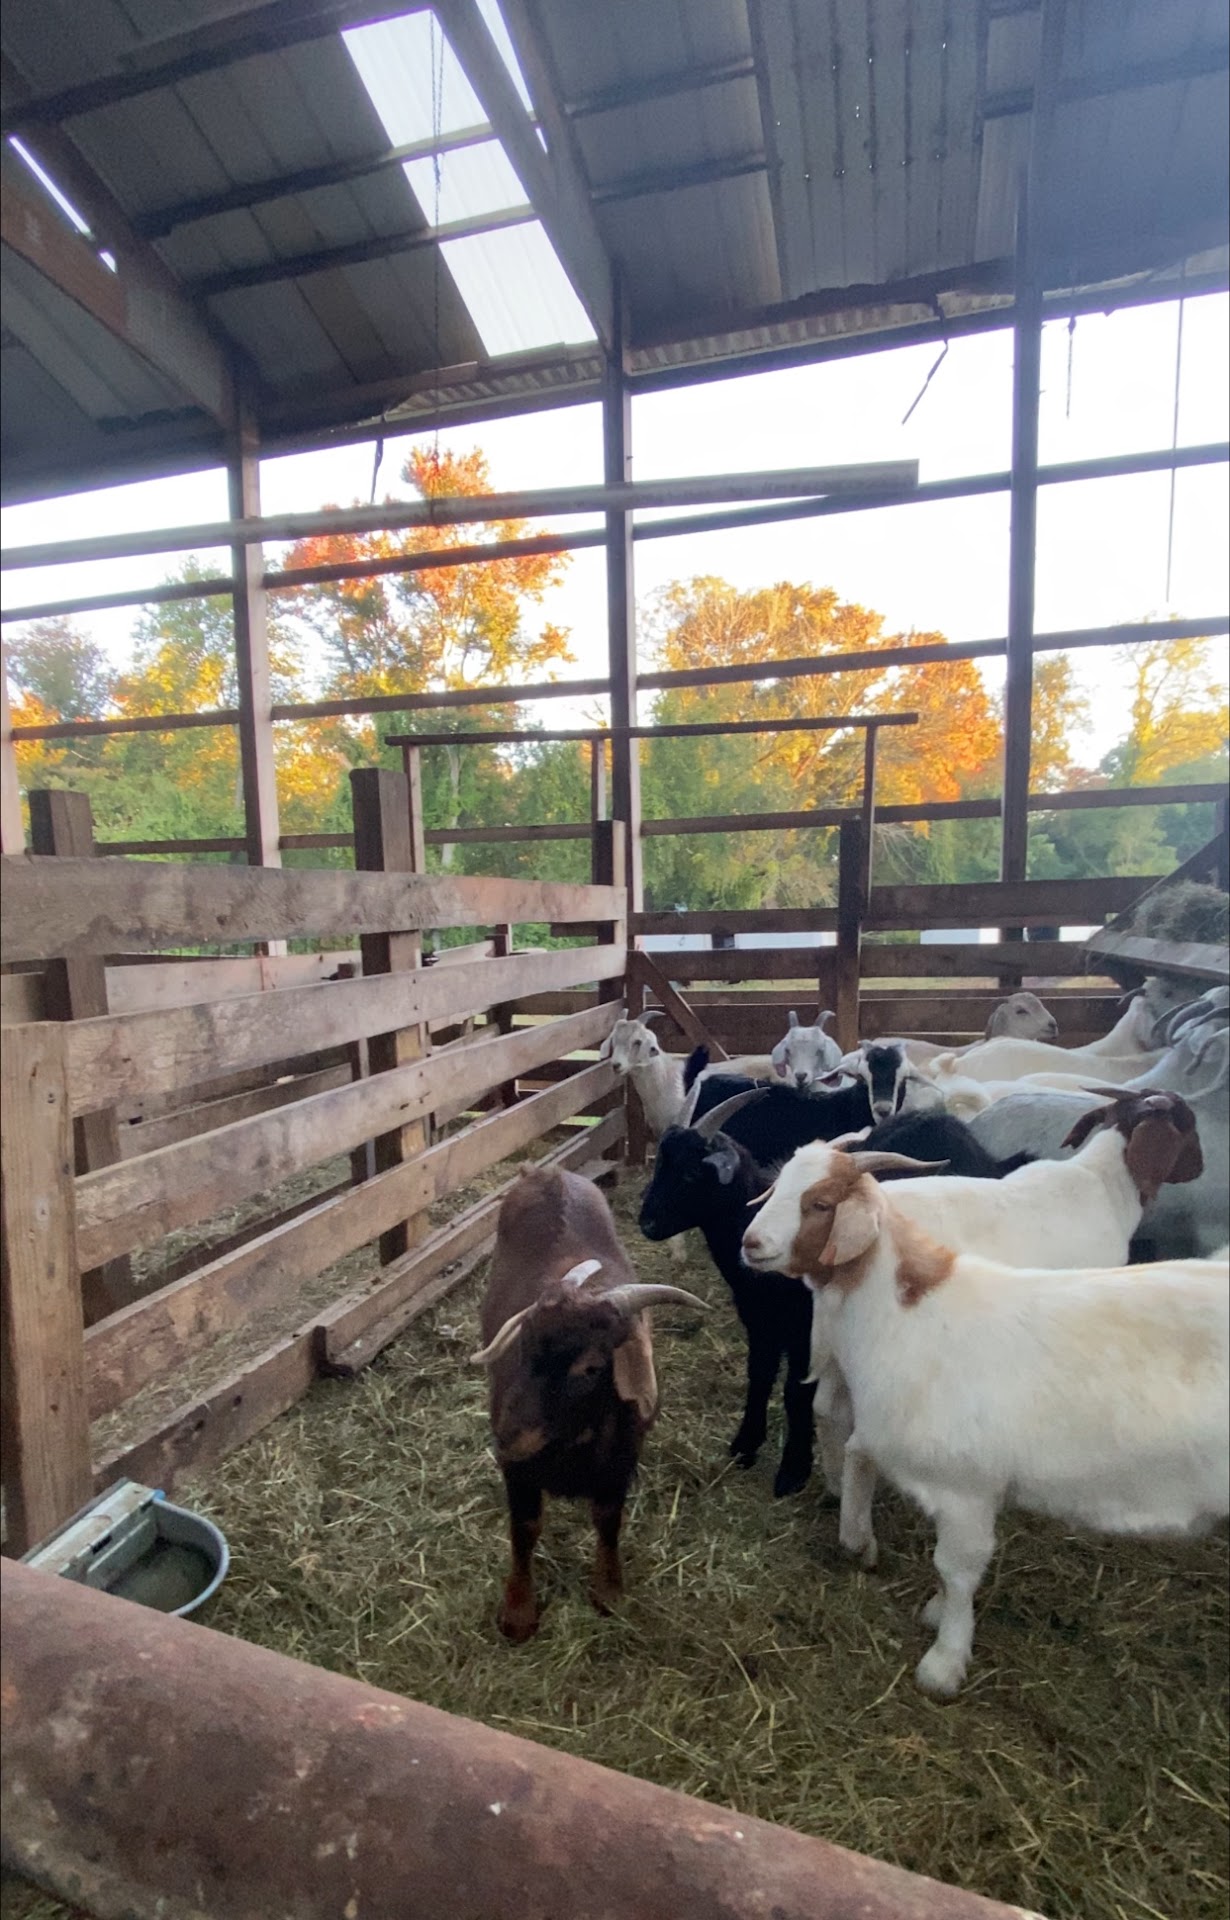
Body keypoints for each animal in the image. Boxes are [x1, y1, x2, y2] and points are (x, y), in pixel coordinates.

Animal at [471, 1163, 705, 1641]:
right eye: (523, 1343)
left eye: (592, 1367)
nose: (506, 1437)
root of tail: (548, 1170)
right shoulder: (518, 1472)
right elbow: (525, 1528)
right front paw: (518, 1611)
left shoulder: (621, 1461)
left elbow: (608, 1519)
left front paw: (609, 1591)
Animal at [638, 1089, 821, 1497]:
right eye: (660, 1165)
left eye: (691, 1172)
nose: (646, 1224)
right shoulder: (759, 1319)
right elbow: (760, 1375)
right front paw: (745, 1445)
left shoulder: (804, 1328)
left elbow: (796, 1391)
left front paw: (793, 1471)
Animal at [740, 1142, 1230, 1694]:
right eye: (779, 1184)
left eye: (821, 1203)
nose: (750, 1242)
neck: (905, 1317)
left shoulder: (966, 1489)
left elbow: (955, 1570)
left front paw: (944, 1661)